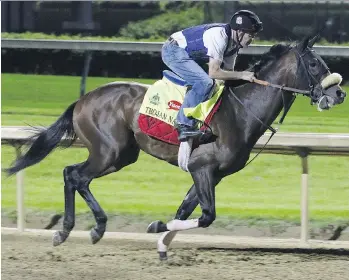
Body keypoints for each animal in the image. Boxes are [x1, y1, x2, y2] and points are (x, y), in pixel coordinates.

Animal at [5, 36, 346, 256]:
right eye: (314, 63)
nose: (339, 94)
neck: (241, 110)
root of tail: (82, 99)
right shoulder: (202, 167)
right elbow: (207, 216)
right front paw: (156, 228)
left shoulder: (211, 174)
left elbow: (186, 209)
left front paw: (162, 243)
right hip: (108, 152)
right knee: (75, 176)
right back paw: (84, 228)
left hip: (120, 156)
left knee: (73, 175)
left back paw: (75, 229)